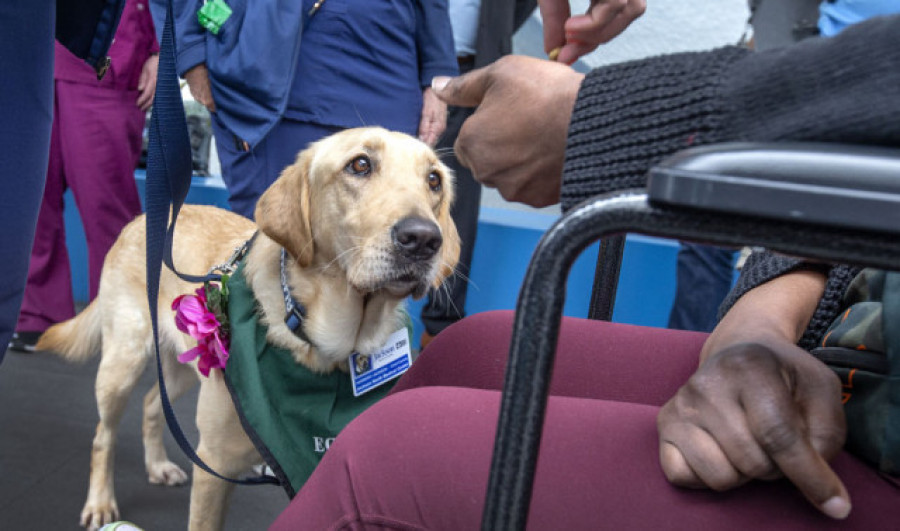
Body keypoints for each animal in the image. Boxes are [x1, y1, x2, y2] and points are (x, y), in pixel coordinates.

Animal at [37, 129, 458, 531]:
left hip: (187, 366)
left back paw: (157, 465)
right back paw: (100, 502)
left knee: (152, 404)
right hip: (123, 362)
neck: (324, 348)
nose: (423, 238)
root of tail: (143, 218)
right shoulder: (215, 464)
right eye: (360, 165)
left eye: (433, 180)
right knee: (103, 436)